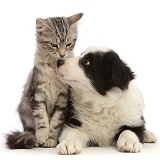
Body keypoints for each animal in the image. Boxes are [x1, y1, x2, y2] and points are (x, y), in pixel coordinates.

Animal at [5, 12, 84, 149]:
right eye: (54, 45)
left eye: (68, 44)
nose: (62, 54)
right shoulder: (37, 95)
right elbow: (42, 119)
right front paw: (41, 136)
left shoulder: (63, 100)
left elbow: (55, 123)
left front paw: (51, 139)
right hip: (24, 110)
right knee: (29, 130)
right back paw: (34, 140)